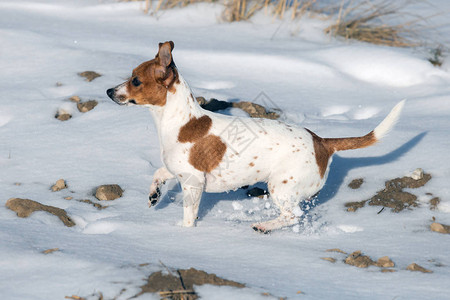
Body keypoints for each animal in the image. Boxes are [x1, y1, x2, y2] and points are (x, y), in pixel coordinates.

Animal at [107, 41, 406, 233]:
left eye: (135, 80)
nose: (109, 91)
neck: (179, 121)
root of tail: (321, 142)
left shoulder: (193, 183)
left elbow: (189, 217)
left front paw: (183, 234)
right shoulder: (177, 170)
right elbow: (158, 173)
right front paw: (154, 195)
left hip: (280, 188)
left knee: (292, 216)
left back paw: (263, 225)